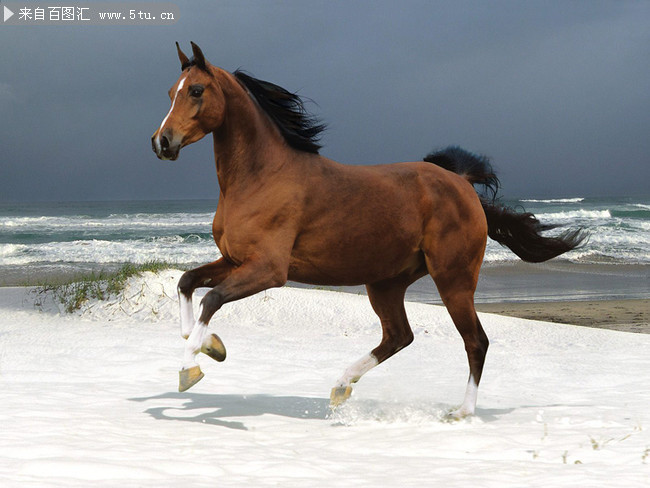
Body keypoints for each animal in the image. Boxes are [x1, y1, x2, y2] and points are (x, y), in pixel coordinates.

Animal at [151, 42, 584, 418]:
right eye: (171, 92)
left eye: (196, 90)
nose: (162, 142)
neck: (261, 176)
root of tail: (461, 183)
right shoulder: (234, 259)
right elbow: (187, 283)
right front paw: (210, 346)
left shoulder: (269, 270)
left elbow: (211, 299)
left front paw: (190, 368)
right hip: (386, 282)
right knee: (399, 336)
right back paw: (341, 386)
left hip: (453, 279)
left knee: (475, 341)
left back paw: (462, 412)